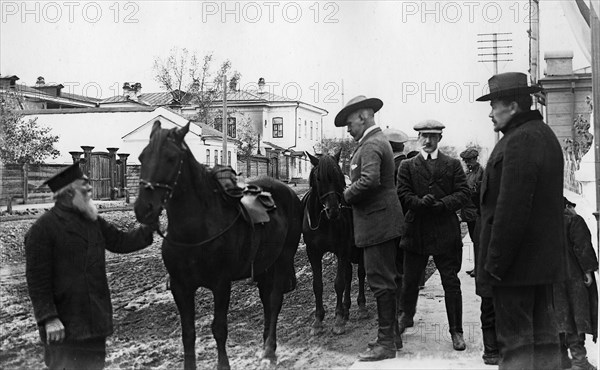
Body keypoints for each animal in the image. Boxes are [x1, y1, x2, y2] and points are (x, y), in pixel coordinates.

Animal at [137, 120, 304, 368]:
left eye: (171, 158)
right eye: (142, 156)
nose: (143, 208)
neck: (194, 232)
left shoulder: (221, 284)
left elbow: (219, 328)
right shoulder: (180, 287)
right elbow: (188, 333)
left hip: (283, 259)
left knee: (274, 301)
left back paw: (269, 352)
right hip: (264, 266)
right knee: (266, 299)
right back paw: (266, 347)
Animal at [302, 150, 368, 336]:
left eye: (339, 176)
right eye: (319, 178)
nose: (334, 211)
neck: (324, 220)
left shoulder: (342, 249)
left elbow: (339, 283)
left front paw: (338, 319)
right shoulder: (313, 252)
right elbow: (318, 285)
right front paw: (318, 320)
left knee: (360, 273)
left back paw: (360, 306)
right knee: (349, 274)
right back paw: (346, 308)